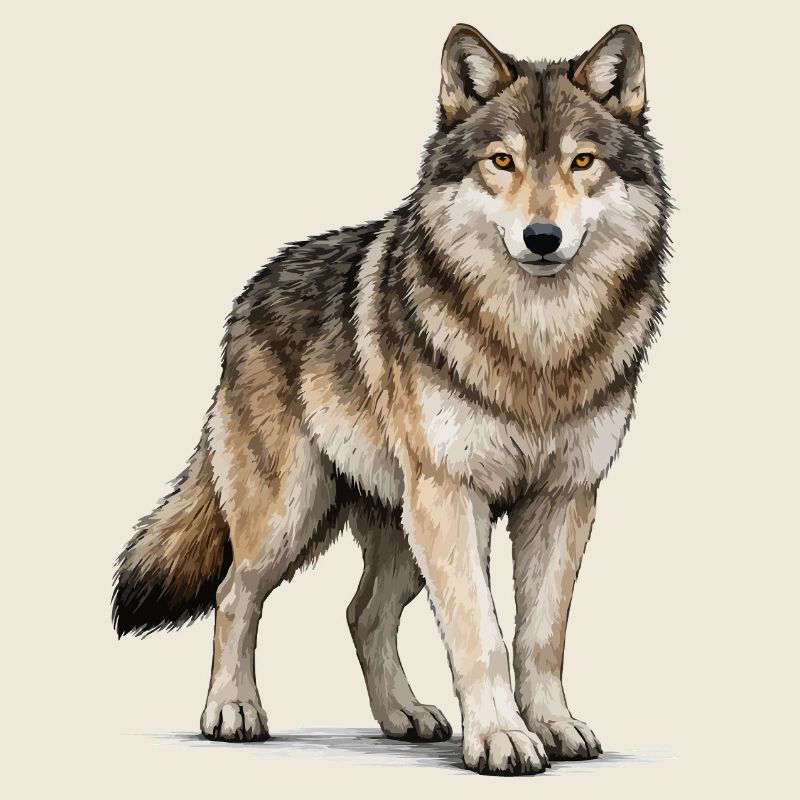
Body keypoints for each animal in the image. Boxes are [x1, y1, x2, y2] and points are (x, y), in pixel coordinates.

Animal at [113, 23, 669, 775]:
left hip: (400, 529)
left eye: (582, 161)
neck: (536, 345)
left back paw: (403, 715)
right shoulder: (452, 495)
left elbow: (540, 636)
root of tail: (250, 291)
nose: (542, 238)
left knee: (362, 614)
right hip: (294, 514)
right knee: (235, 593)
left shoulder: (564, 499)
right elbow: (482, 635)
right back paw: (232, 711)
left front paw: (552, 726)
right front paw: (500, 738)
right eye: (502, 161)